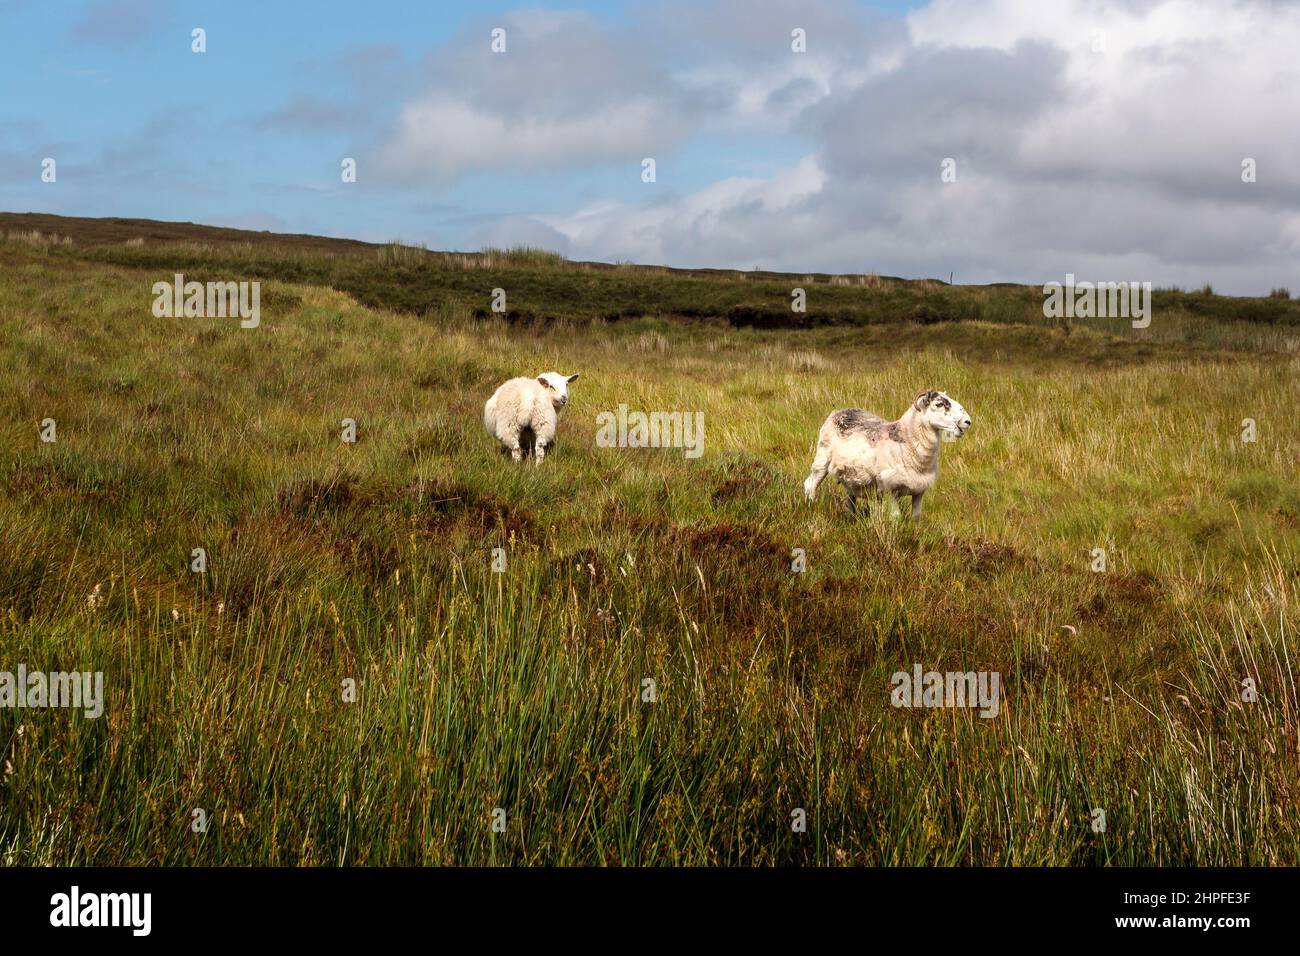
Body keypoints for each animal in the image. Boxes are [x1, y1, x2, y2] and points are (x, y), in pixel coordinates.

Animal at [803, 389, 970, 518]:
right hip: (821, 459)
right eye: (939, 404)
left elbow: (916, 517)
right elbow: (896, 517)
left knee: (850, 499)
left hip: (851, 476)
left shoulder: (919, 491)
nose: (967, 421)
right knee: (810, 485)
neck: (907, 441)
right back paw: (811, 506)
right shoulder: (891, 489)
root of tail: (839, 411)